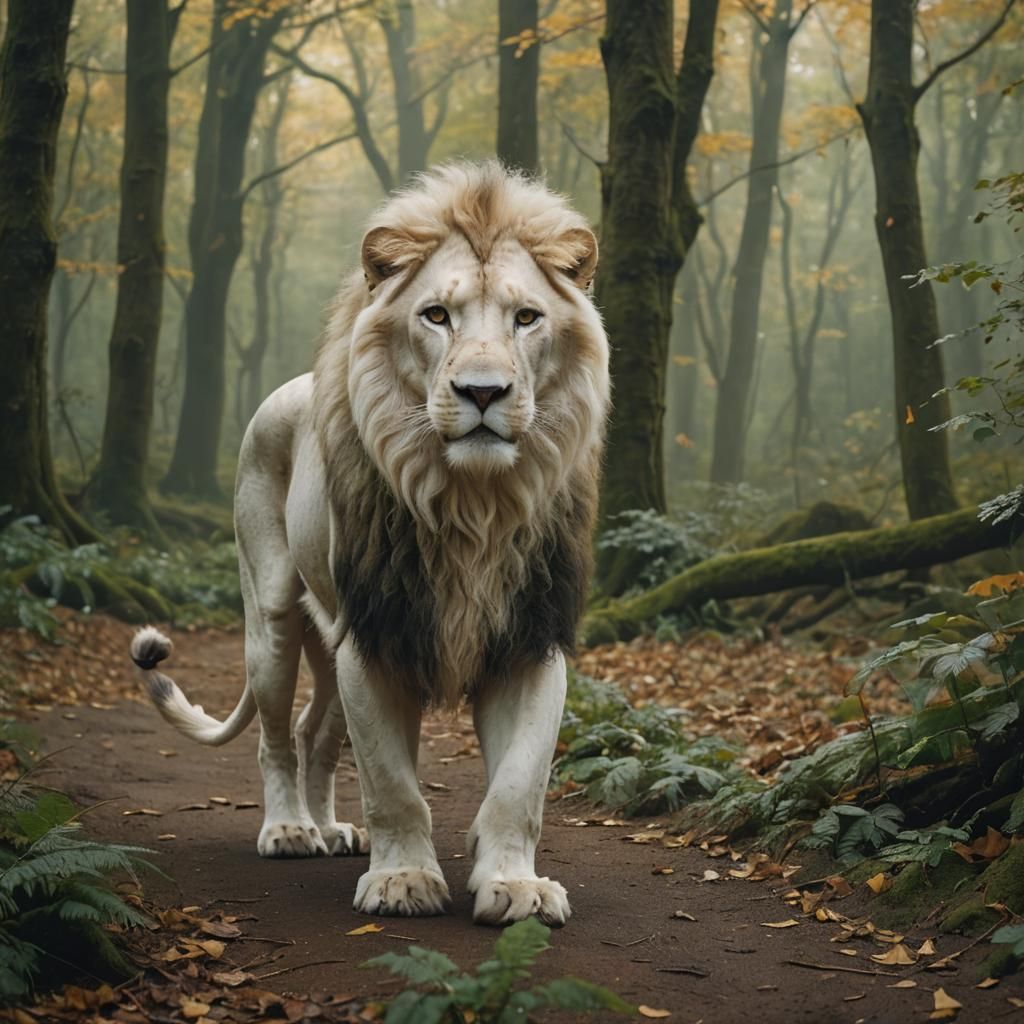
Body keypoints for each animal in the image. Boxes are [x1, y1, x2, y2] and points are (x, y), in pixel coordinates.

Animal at [130, 162, 610, 926]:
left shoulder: (531, 636)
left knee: (314, 734)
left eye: (527, 317)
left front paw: (516, 886)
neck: (475, 505)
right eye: (436, 315)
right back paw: (290, 830)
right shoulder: (378, 634)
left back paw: (333, 830)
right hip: (272, 623)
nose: (483, 392)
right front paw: (404, 881)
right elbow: (392, 784)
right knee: (275, 737)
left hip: (330, 649)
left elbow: (519, 783)